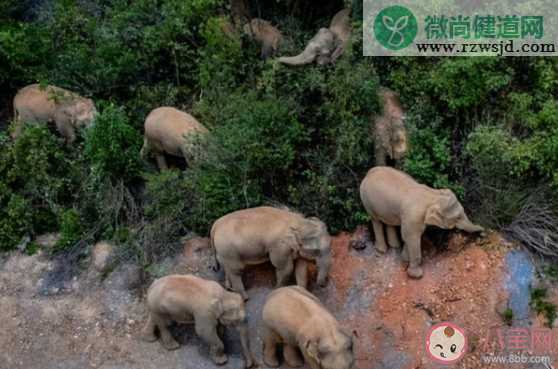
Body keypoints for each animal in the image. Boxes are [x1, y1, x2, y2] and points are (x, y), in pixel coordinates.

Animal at [360, 166, 488, 276]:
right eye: (457, 218)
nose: (484, 232)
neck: (432, 195)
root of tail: (368, 172)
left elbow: (408, 237)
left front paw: (405, 259)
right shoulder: (413, 216)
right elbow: (411, 237)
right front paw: (416, 275)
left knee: (388, 222)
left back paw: (395, 246)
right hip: (366, 199)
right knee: (376, 220)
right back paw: (381, 250)